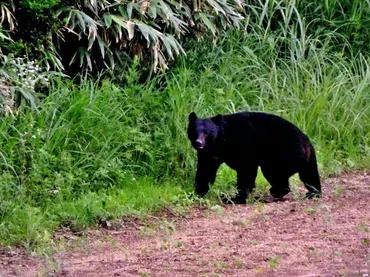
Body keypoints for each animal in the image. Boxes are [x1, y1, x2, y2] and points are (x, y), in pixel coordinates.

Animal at [188, 110, 320, 203]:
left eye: (207, 133)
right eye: (194, 131)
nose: (198, 143)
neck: (220, 142)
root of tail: (306, 141)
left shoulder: (244, 147)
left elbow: (246, 172)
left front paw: (236, 198)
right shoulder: (208, 155)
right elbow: (205, 172)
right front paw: (196, 194)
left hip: (280, 154)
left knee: (276, 174)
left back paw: (275, 191)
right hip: (306, 160)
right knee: (309, 176)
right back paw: (313, 194)